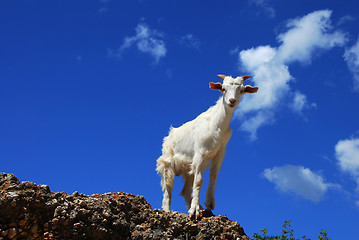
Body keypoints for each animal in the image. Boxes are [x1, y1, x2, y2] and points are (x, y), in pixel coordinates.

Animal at [156, 74, 258, 217]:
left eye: (242, 90)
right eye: (223, 89)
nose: (231, 101)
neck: (217, 127)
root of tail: (168, 137)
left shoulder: (219, 153)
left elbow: (213, 176)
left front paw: (208, 204)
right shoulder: (200, 153)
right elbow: (199, 181)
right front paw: (194, 210)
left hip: (188, 167)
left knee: (185, 190)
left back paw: (197, 206)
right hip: (167, 164)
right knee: (167, 191)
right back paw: (168, 211)